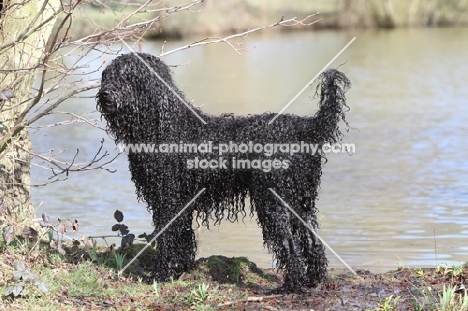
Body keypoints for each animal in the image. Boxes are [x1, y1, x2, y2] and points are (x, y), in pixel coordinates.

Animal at [96, 52, 352, 294]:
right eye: (107, 76)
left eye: (129, 76)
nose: (105, 94)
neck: (165, 126)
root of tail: (304, 128)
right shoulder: (180, 201)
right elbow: (183, 238)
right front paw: (179, 269)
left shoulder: (169, 200)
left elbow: (170, 238)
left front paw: (162, 274)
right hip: (300, 199)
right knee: (312, 241)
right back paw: (313, 280)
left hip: (273, 200)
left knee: (290, 245)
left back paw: (290, 286)